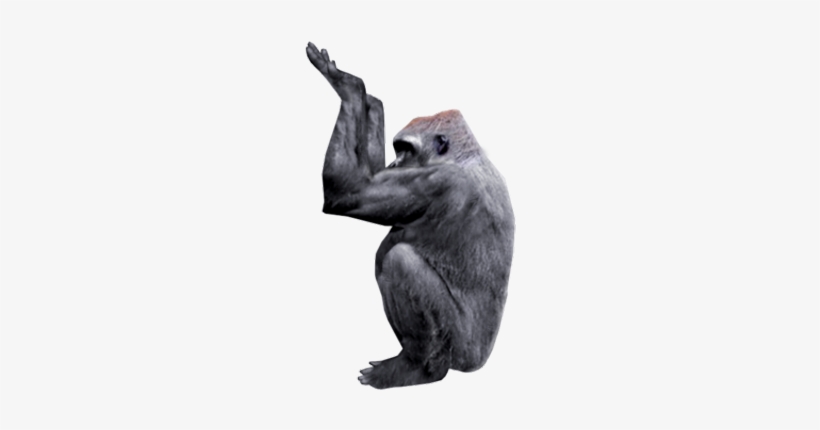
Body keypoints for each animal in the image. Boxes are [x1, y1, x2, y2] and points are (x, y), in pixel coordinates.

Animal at [306, 42, 514, 389]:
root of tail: (481, 360)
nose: (395, 163)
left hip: (461, 351)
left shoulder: (435, 182)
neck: (464, 157)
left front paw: (349, 87)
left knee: (398, 261)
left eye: (406, 149)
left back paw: (421, 369)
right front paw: (371, 103)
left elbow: (350, 193)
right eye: (396, 149)